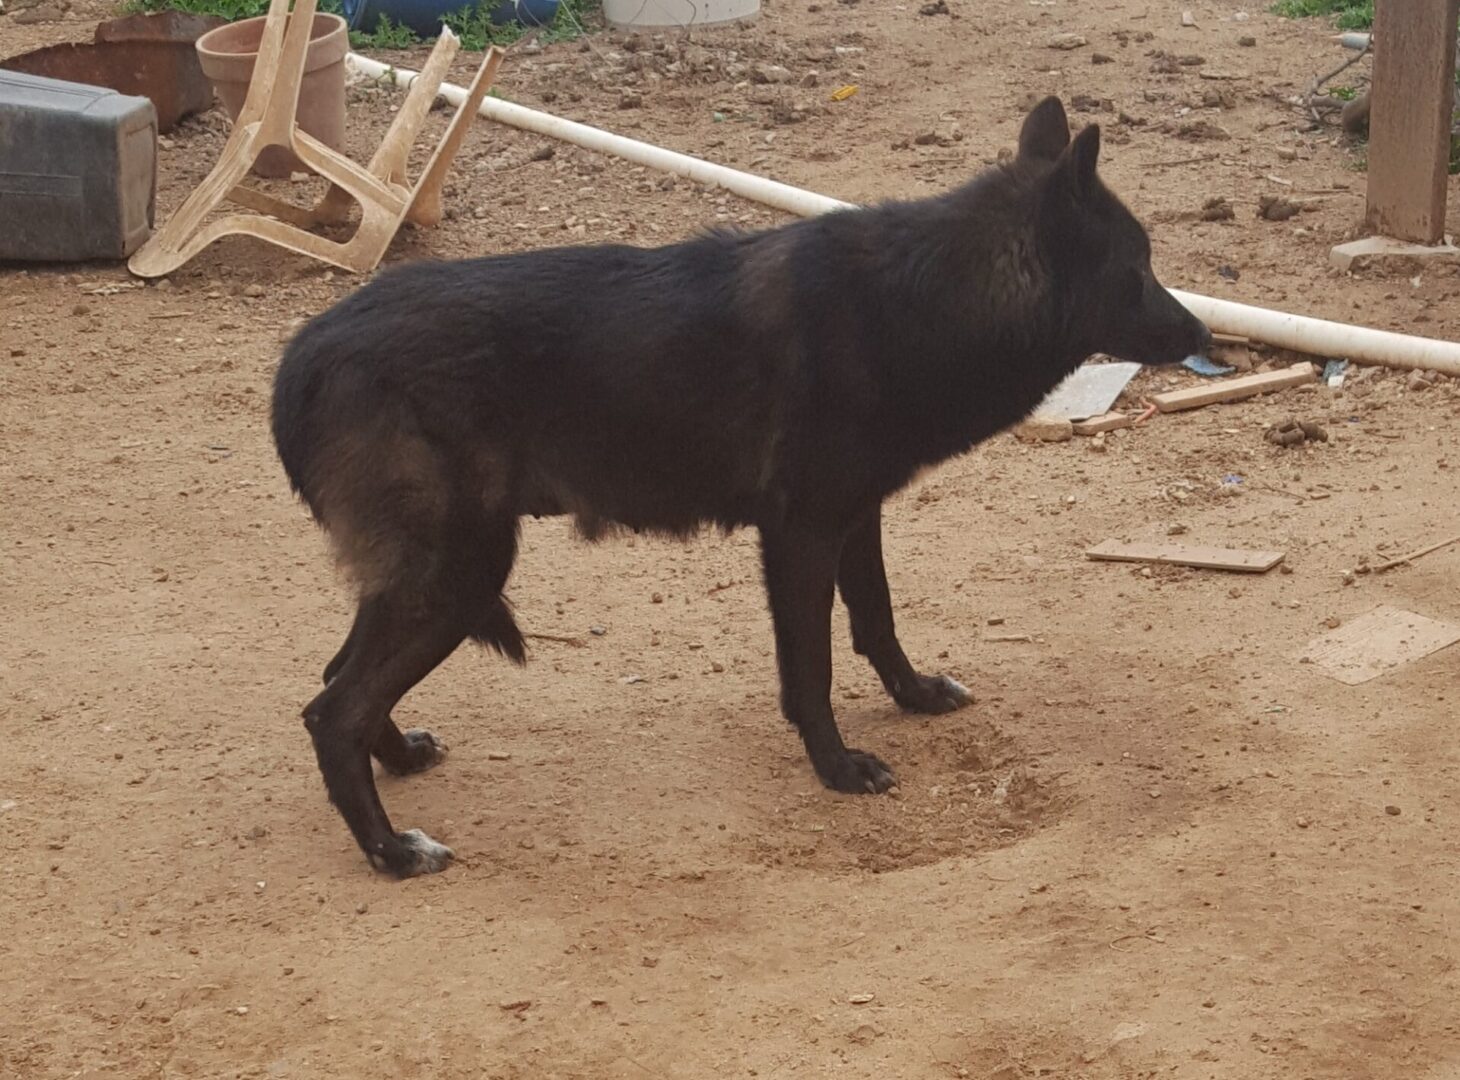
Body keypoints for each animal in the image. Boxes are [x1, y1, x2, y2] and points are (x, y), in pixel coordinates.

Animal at [271, 99, 1208, 875]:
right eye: (1139, 266)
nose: (1203, 333)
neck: (923, 296)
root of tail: (306, 354)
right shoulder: (800, 535)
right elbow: (813, 669)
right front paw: (837, 767)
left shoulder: (854, 519)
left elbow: (877, 621)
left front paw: (913, 699)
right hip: (460, 580)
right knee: (332, 710)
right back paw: (392, 851)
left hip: (434, 580)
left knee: (334, 677)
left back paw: (401, 763)